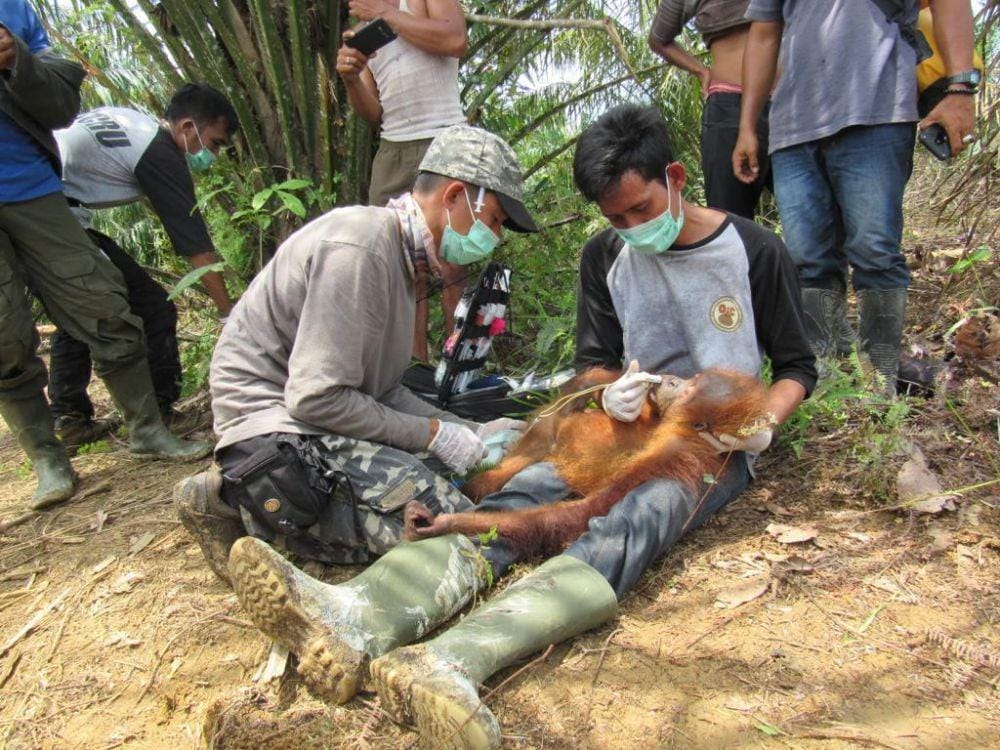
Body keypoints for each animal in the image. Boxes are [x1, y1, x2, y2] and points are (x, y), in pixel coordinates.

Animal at [404, 368, 771, 559]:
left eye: (685, 389)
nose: (670, 379)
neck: (674, 425)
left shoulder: (670, 453)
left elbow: (584, 511)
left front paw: (444, 523)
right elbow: (607, 384)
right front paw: (619, 391)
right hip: (542, 437)